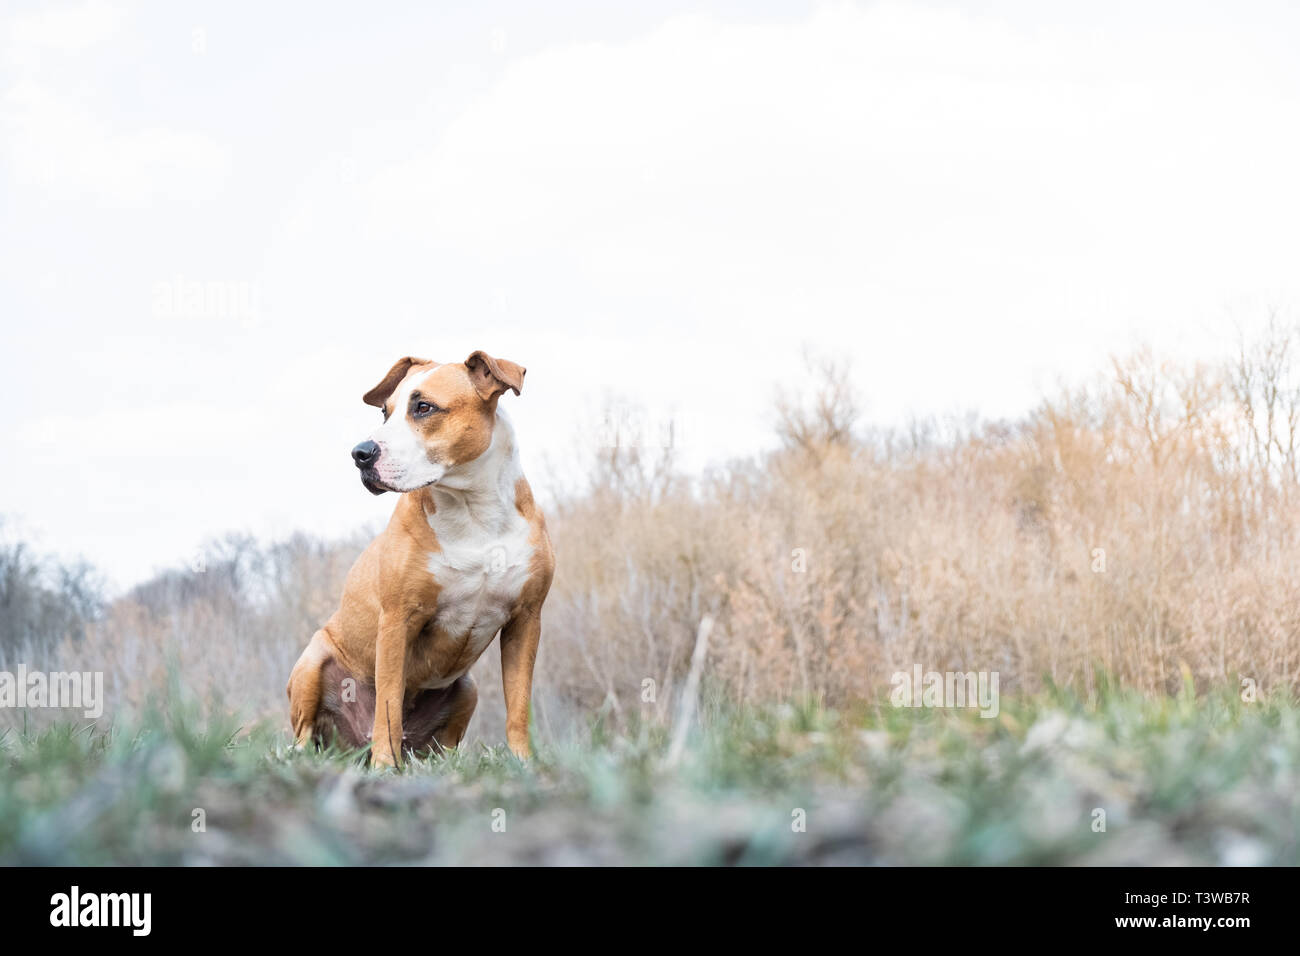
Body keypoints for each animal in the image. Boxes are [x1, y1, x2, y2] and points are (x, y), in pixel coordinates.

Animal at [289, 351, 553, 770]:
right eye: (385, 412)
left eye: (424, 407)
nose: (360, 453)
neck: (473, 510)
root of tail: (353, 747)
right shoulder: (398, 620)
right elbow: (388, 701)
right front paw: (385, 766)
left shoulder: (526, 620)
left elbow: (518, 703)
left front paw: (523, 763)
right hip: (313, 661)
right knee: (304, 733)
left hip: (467, 688)